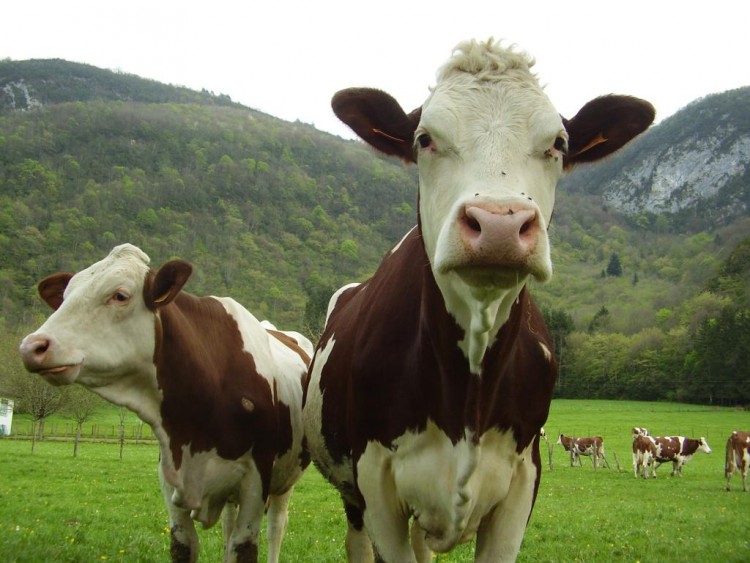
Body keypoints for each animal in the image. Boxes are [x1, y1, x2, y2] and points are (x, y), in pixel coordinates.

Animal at [18, 246, 312, 563]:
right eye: (64, 296)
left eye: (120, 295)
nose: (32, 346)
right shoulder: (170, 474)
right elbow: (184, 546)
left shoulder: (256, 479)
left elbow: (244, 547)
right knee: (228, 526)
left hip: (284, 480)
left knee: (276, 527)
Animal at [302, 39, 656, 563]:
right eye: (424, 139)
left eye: (559, 143)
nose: (499, 224)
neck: (466, 395)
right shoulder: (375, 484)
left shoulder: (522, 480)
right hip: (352, 495)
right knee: (356, 541)